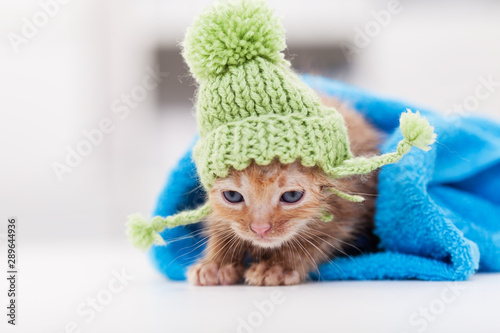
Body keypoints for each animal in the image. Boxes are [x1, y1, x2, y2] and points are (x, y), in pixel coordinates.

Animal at [187, 96, 378, 286]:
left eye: (291, 196)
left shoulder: (345, 211)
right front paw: (215, 264)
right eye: (232, 196)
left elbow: (319, 240)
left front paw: (278, 266)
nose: (260, 229)